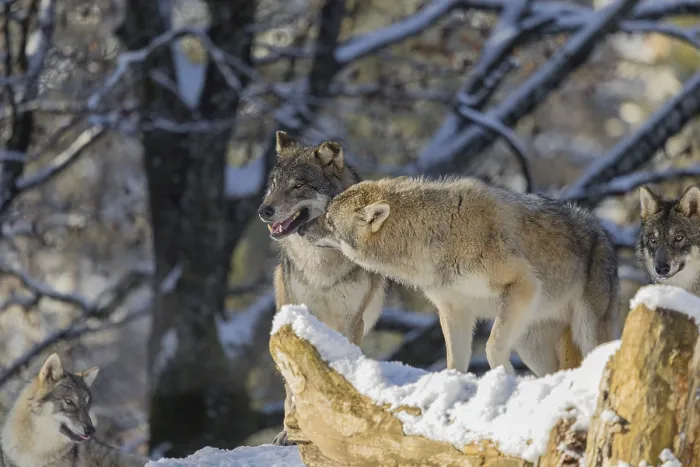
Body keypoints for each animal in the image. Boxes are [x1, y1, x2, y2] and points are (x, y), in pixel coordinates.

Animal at [258, 131, 386, 445]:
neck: (320, 263)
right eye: (275, 185)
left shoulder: (352, 319)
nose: (263, 211)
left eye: (298, 185)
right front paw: (293, 432)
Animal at [300, 176, 620, 377]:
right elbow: (455, 361)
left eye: (329, 221)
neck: (440, 234)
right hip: (530, 346)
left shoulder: (522, 283)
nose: (300, 228)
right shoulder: (455, 309)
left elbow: (491, 347)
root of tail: (602, 230)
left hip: (584, 329)